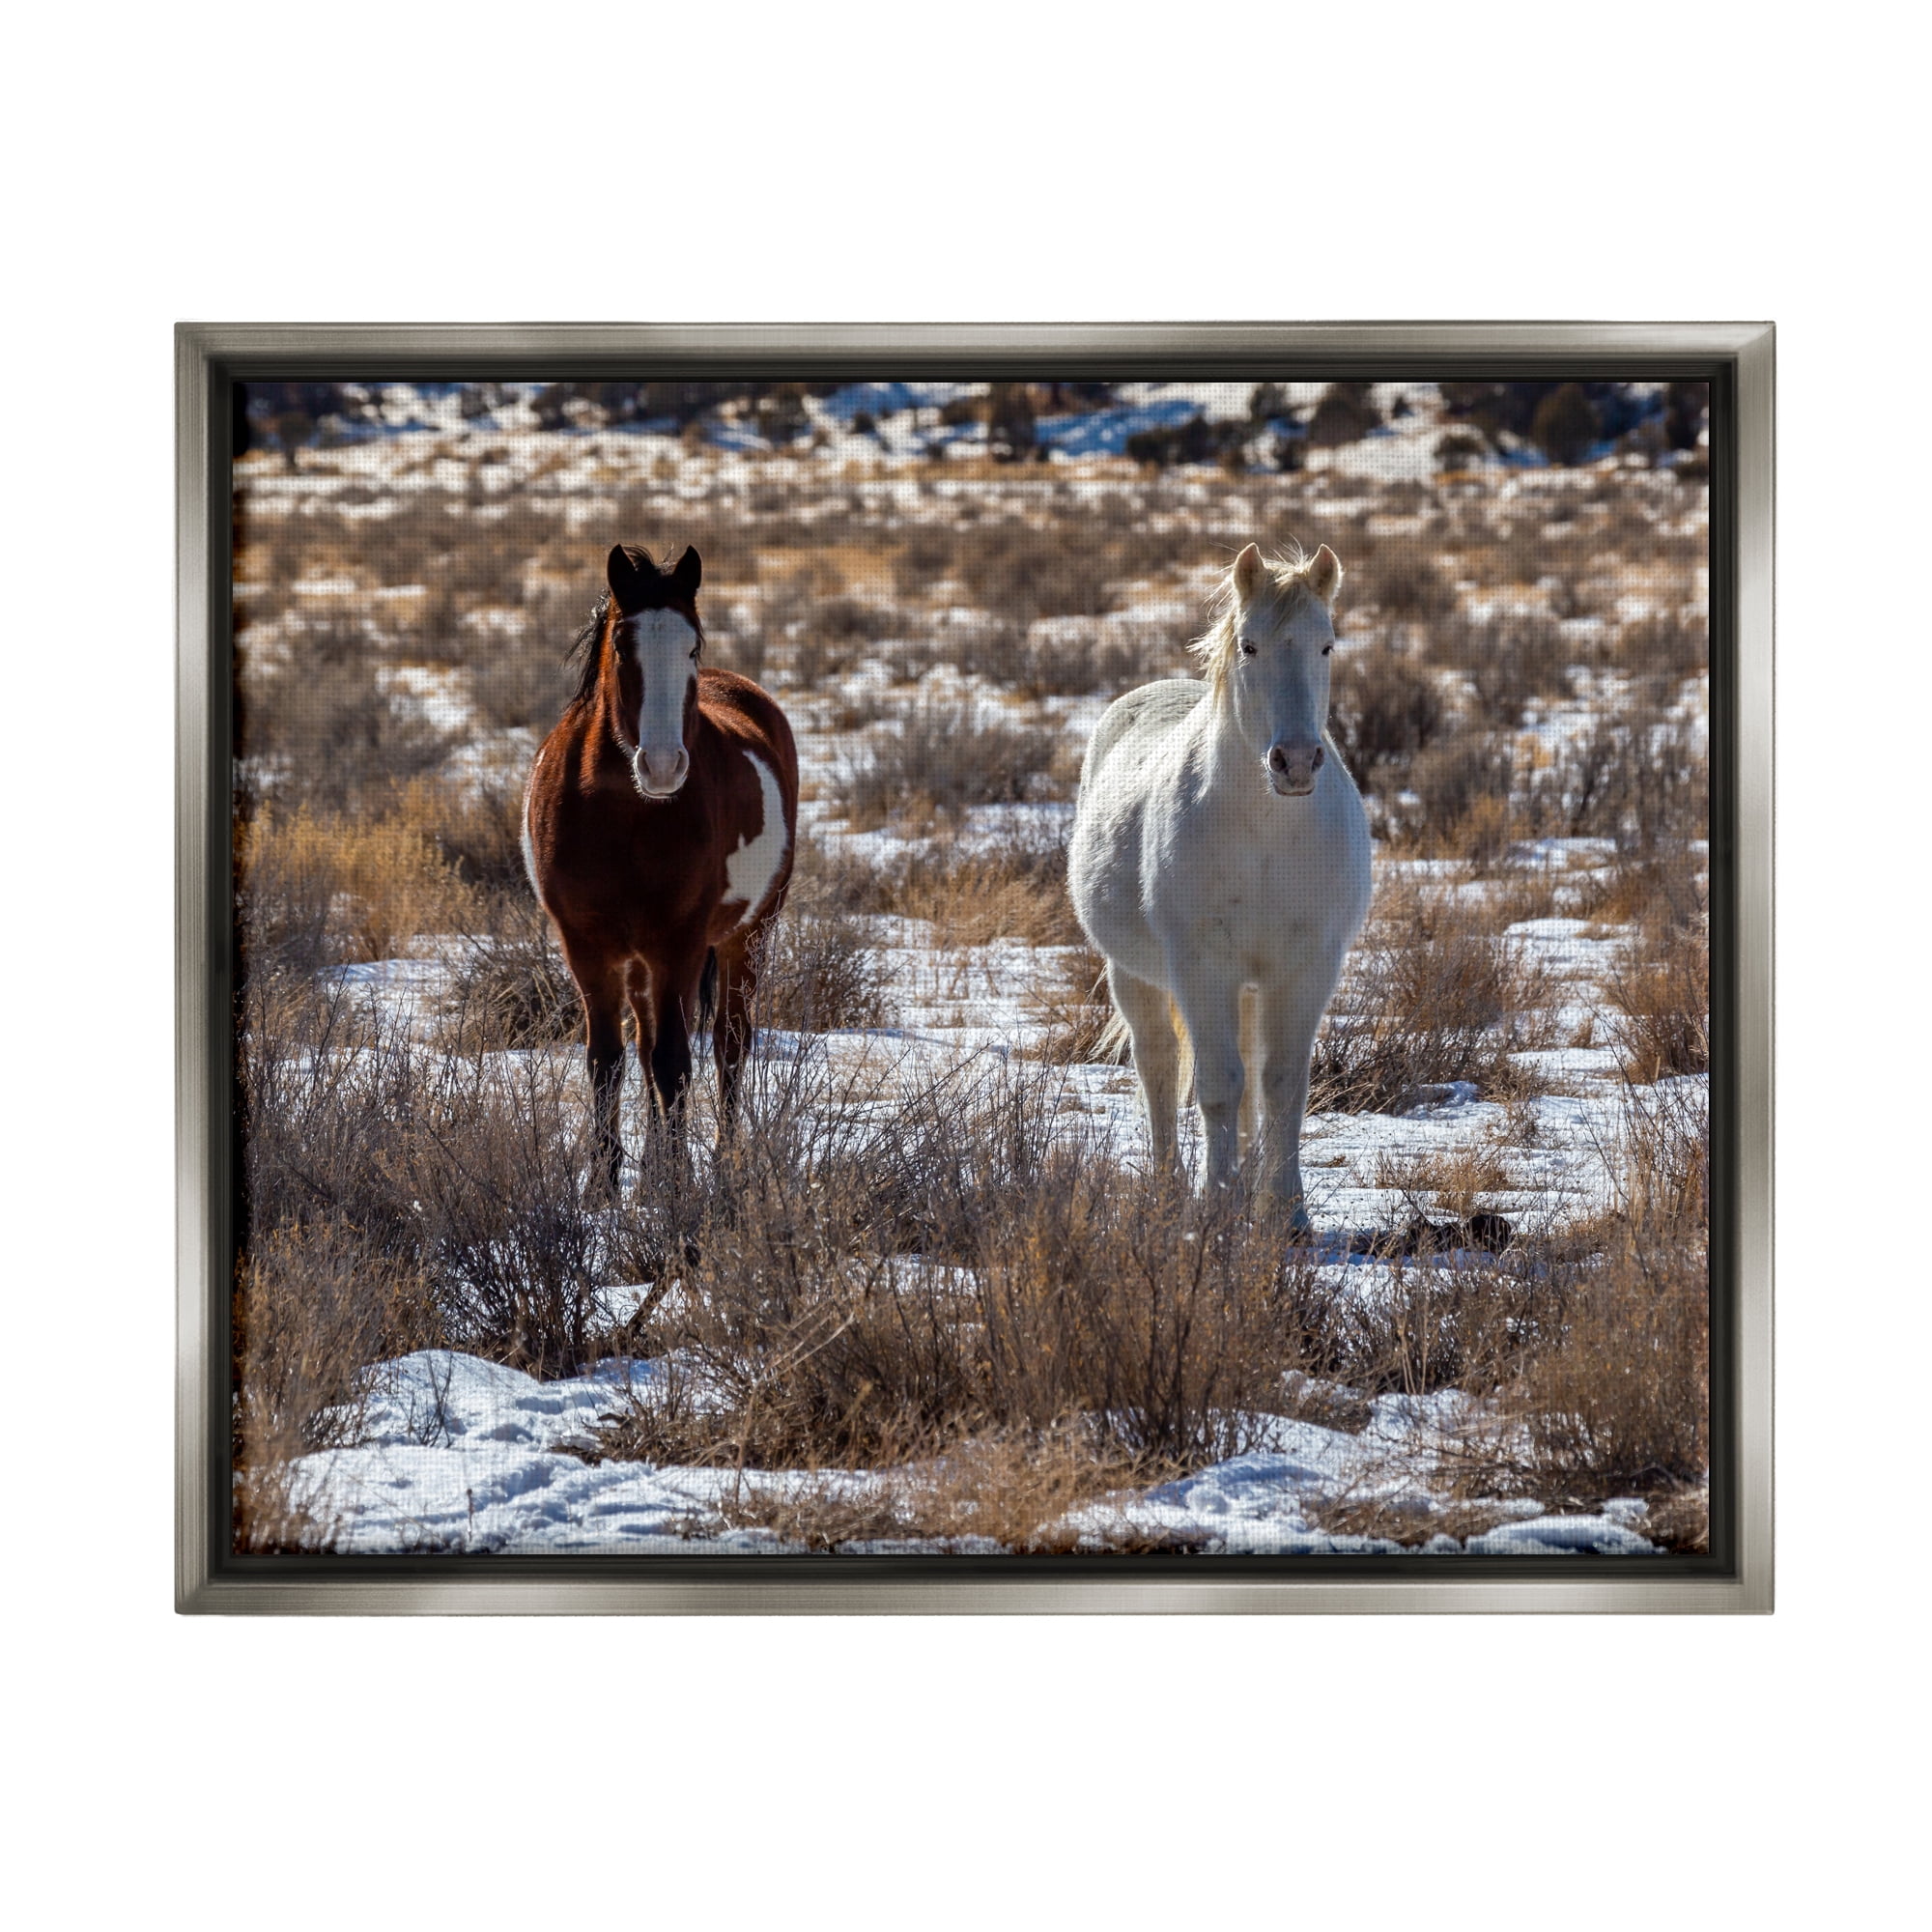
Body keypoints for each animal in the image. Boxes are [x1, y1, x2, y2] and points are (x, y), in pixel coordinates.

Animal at [524, 543, 799, 1186]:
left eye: (693, 645)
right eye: (623, 645)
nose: (664, 765)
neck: (624, 814)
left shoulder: (681, 941)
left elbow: (675, 1062)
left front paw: (676, 1186)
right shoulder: (587, 945)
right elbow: (609, 1059)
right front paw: (604, 1186)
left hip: (747, 935)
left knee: (728, 1044)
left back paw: (720, 1163)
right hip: (642, 959)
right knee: (648, 1042)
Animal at [1067, 542, 1371, 1230]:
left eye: (1327, 645)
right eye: (1251, 646)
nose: (1294, 762)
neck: (1266, 832)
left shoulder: (1307, 967)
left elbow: (1282, 1084)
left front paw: (1287, 1215)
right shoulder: (1202, 967)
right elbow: (1217, 1085)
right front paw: (1218, 1206)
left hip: (1252, 987)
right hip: (1136, 976)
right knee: (1158, 1066)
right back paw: (1169, 1189)